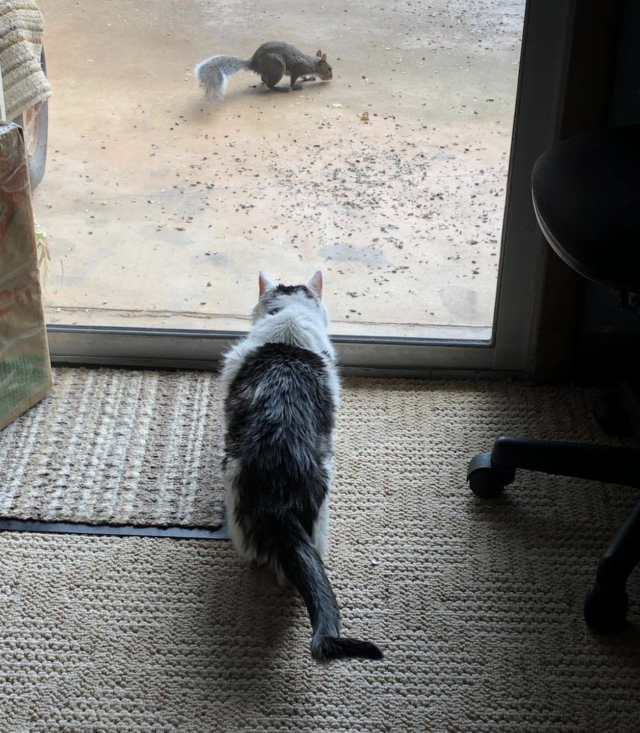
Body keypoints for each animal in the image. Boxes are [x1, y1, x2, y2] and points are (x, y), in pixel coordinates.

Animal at [195, 41, 336, 102]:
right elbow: (293, 79)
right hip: (278, 67)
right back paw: (280, 89)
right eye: (329, 69)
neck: (312, 62)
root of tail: (254, 62)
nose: (331, 77)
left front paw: (310, 78)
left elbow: (303, 77)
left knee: (263, 79)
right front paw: (295, 86)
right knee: (269, 85)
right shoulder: (299, 67)